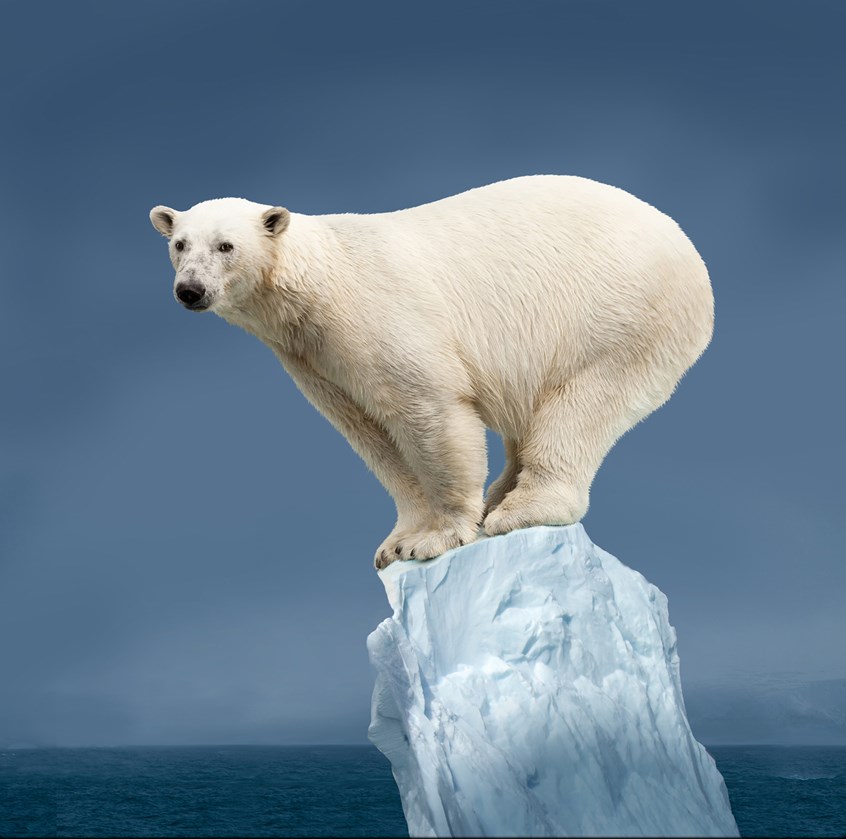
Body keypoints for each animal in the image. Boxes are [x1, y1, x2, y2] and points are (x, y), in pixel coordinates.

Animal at [150, 175, 713, 569]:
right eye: (179, 244)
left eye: (225, 245)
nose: (190, 291)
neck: (320, 284)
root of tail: (686, 245)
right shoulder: (314, 359)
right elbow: (370, 435)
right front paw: (397, 542)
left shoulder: (382, 319)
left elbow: (428, 411)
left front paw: (437, 537)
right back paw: (501, 493)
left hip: (620, 316)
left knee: (582, 405)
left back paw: (520, 509)